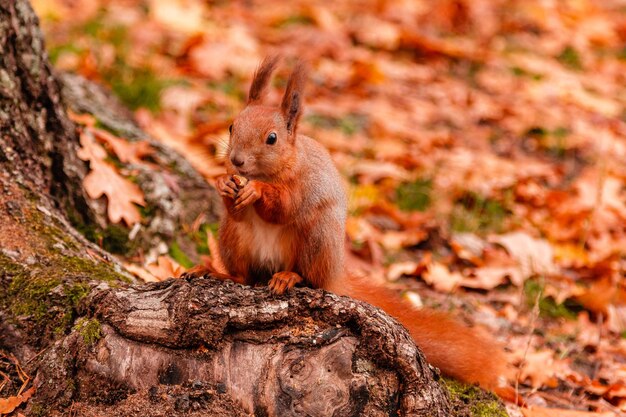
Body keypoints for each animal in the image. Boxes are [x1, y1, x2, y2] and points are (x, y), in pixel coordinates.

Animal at [195, 56, 508, 390]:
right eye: (232, 126)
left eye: (272, 138)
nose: (237, 161)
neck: (278, 167)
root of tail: (336, 272)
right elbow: (238, 210)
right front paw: (224, 184)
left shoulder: (304, 185)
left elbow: (284, 208)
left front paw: (256, 191)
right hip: (233, 238)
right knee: (245, 276)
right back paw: (220, 273)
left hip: (317, 238)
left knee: (311, 278)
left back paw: (289, 277)